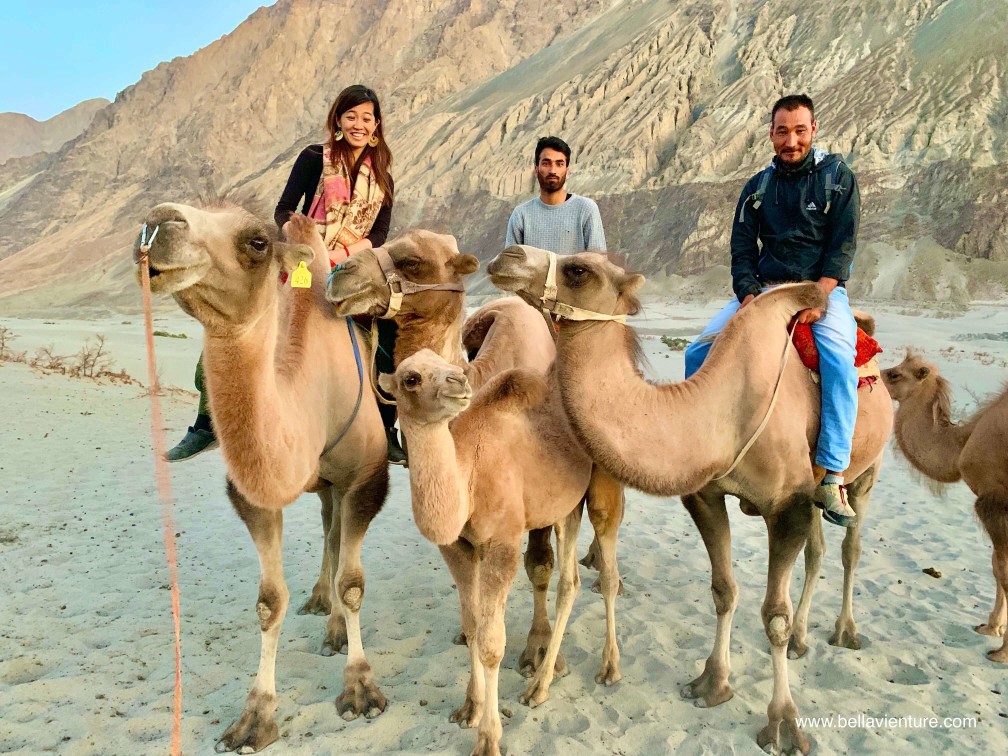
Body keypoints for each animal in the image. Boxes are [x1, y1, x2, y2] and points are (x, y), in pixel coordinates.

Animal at [135, 205, 390, 752]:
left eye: (256, 241)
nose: (158, 224)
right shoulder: (254, 496)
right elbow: (270, 603)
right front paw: (254, 718)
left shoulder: (365, 478)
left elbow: (353, 583)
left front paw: (361, 689)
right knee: (328, 530)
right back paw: (322, 606)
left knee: (336, 535)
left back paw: (335, 627)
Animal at [380, 349, 603, 756]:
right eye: (411, 378)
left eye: (453, 365)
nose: (459, 382)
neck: (469, 475)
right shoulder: (458, 547)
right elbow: (472, 627)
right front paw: (470, 707)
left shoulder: (502, 543)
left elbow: (491, 644)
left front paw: (488, 738)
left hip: (579, 498)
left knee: (571, 582)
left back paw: (540, 687)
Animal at [487, 246, 894, 754]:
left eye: (579, 270)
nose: (507, 255)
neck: (720, 411)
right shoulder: (707, 495)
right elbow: (723, 590)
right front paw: (712, 684)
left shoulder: (788, 506)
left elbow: (773, 617)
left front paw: (783, 723)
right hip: (815, 488)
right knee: (817, 550)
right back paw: (804, 639)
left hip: (867, 470)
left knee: (849, 545)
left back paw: (844, 631)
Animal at [882, 352, 1008, 662]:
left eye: (895, 374)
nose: (871, 375)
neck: (962, 444)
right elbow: (996, 567)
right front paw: (991, 627)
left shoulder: (993, 502)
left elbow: (1003, 571)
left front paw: (1001, 652)